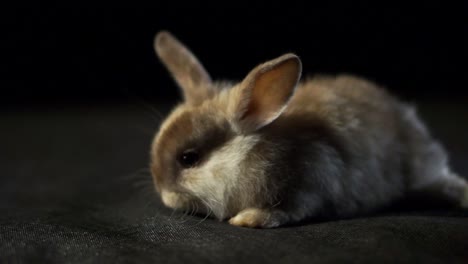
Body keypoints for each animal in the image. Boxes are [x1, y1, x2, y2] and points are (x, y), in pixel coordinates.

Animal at [149, 31, 468, 228]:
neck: (248, 154)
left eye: (189, 158)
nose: (165, 197)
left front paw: (248, 219)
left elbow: (286, 211)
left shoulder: (308, 184)